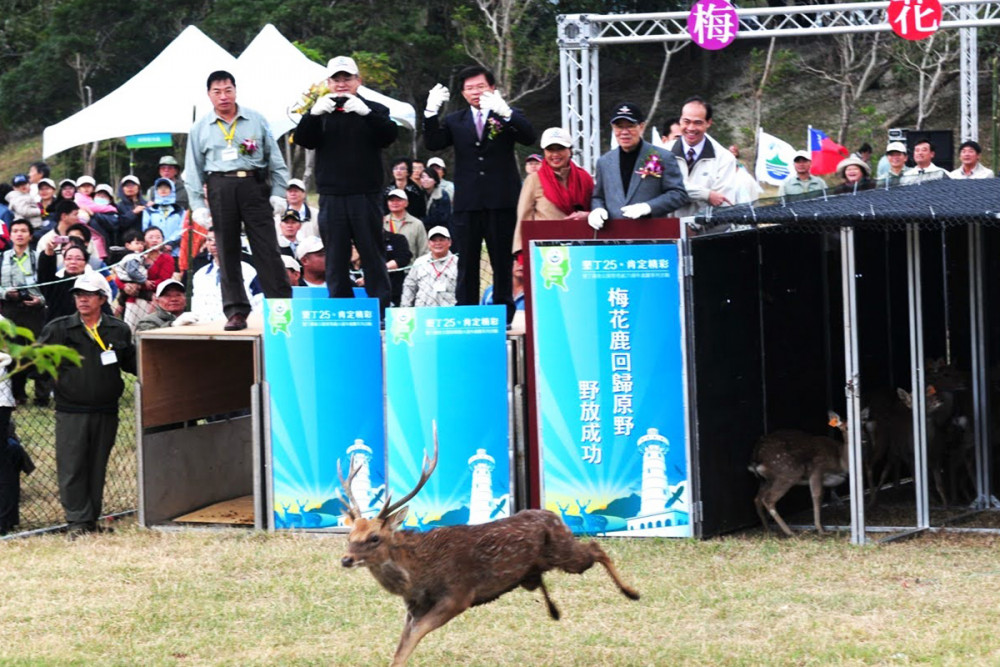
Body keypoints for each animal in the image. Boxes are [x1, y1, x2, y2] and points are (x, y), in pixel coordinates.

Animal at [338, 426, 640, 664]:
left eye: (374, 537)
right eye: (350, 535)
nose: (346, 559)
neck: (418, 576)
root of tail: (555, 516)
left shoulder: (458, 594)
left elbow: (415, 638)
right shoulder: (413, 609)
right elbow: (401, 650)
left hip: (565, 551)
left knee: (596, 548)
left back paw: (632, 593)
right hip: (537, 570)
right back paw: (555, 611)